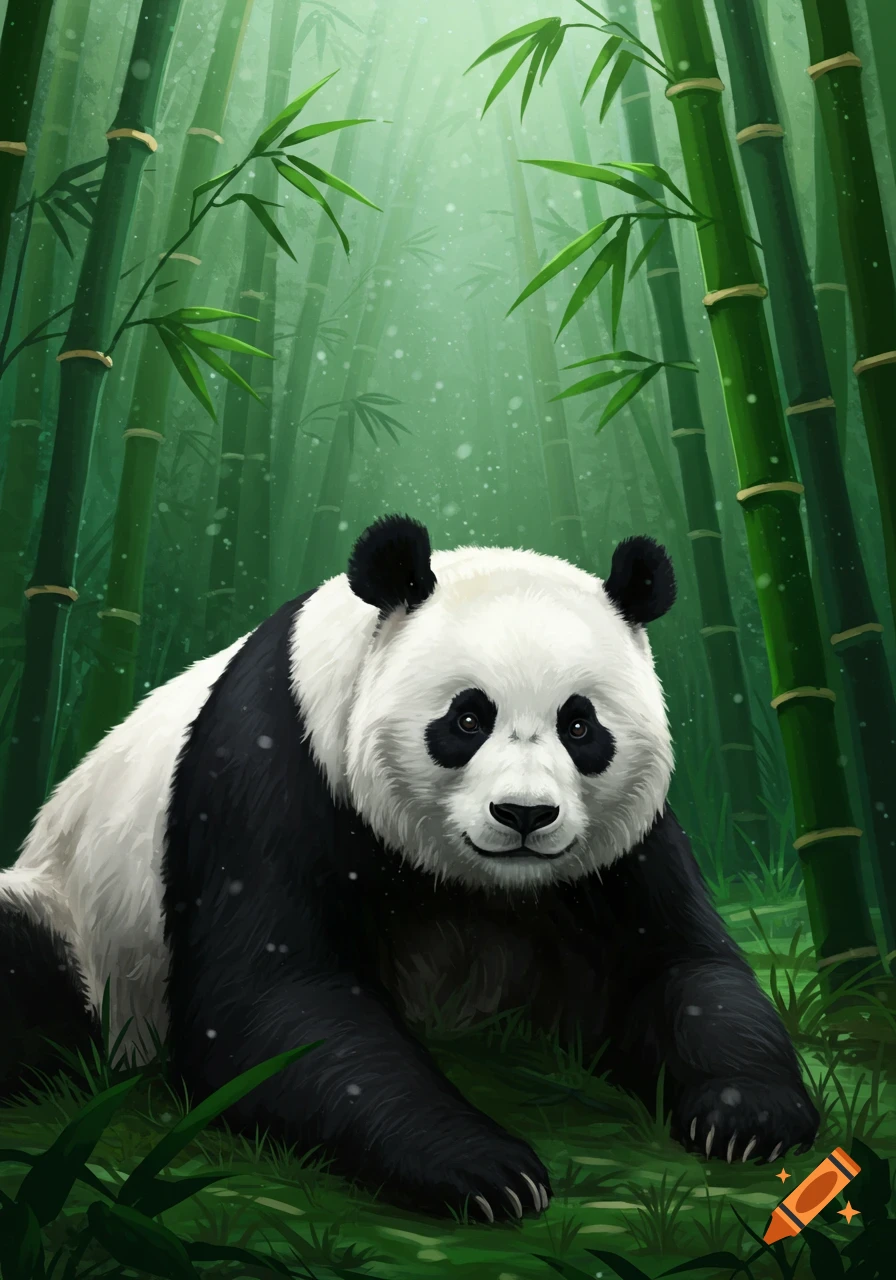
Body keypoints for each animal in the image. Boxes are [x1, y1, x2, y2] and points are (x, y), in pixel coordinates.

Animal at [0, 514, 818, 1222]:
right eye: (468, 718)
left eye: (581, 724)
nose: (525, 816)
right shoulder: (272, 766)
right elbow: (276, 997)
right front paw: (486, 1169)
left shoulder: (621, 848)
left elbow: (678, 964)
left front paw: (746, 1116)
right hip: (77, 920)